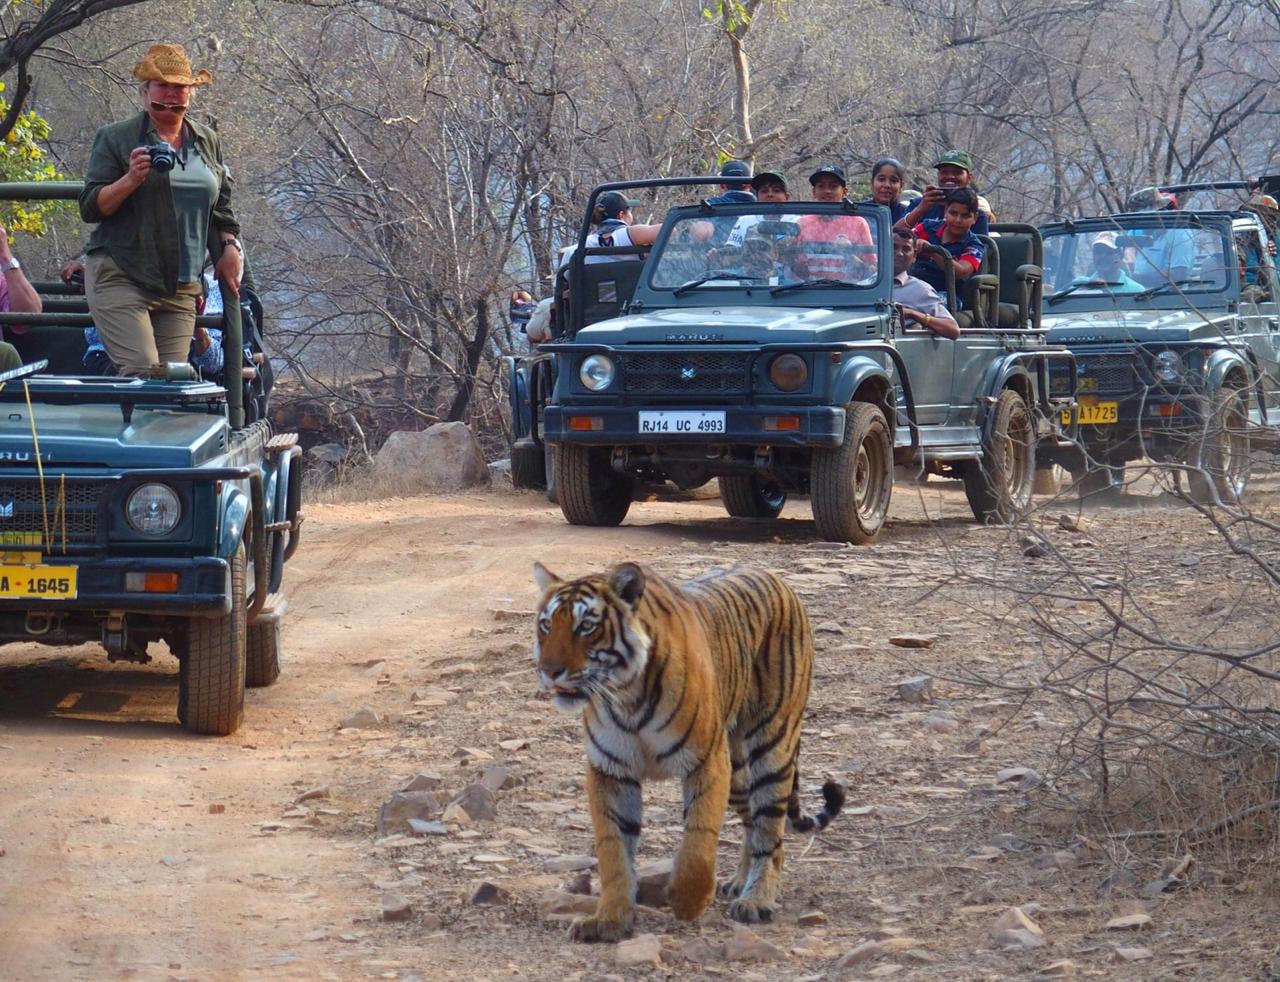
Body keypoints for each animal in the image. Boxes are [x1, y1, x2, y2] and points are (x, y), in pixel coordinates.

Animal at [532, 560, 845, 942]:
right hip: (737, 770)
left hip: (772, 746)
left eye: (586, 627)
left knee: (770, 833)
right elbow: (613, 850)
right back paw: (739, 882)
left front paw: (687, 901)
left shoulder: (706, 761)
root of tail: (774, 577)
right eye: (546, 625)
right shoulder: (610, 770)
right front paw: (609, 919)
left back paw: (756, 900)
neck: (626, 697)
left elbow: (699, 839)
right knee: (752, 822)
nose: (549, 671)